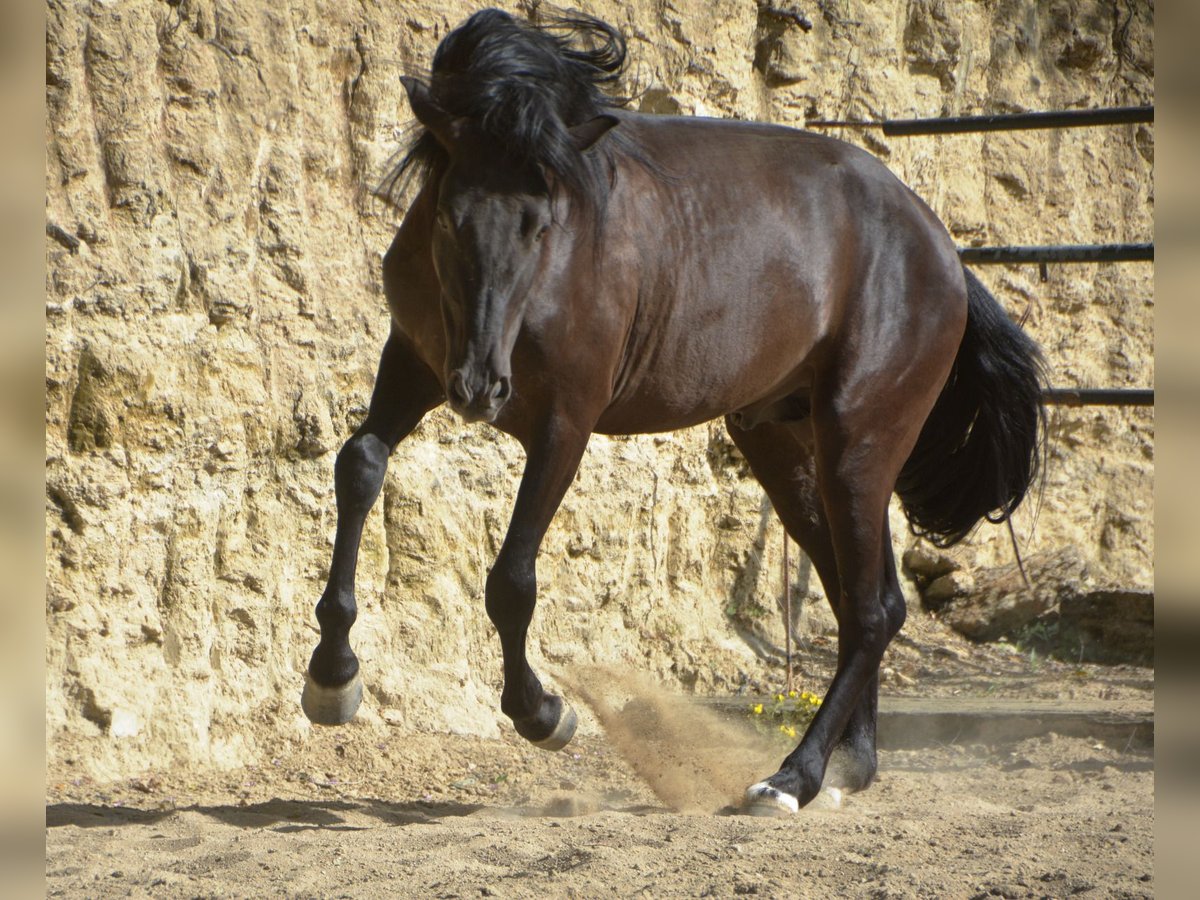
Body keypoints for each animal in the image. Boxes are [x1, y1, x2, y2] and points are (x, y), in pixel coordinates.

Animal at [300, 7, 1041, 816]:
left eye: (540, 223)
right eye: (448, 217)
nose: (481, 388)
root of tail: (943, 252)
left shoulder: (564, 422)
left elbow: (512, 579)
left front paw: (543, 713)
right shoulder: (412, 362)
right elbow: (360, 463)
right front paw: (331, 679)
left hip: (858, 443)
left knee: (871, 613)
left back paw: (792, 779)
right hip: (793, 449)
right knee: (866, 599)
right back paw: (849, 767)